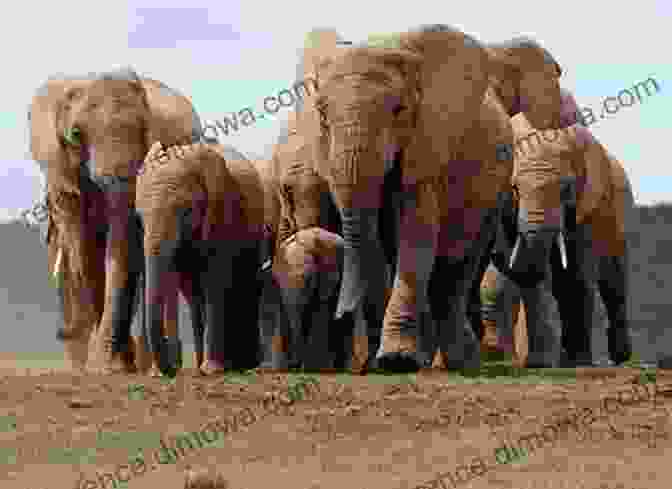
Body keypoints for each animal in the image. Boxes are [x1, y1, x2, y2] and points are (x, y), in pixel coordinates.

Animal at [28, 67, 202, 374]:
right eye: (76, 134)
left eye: (145, 128)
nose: (61, 331)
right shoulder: (60, 172)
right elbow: (85, 251)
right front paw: (110, 366)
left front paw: (111, 365)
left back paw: (150, 367)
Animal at [135, 141, 266, 374]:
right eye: (140, 216)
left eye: (185, 210)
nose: (172, 370)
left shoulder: (221, 212)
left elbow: (215, 281)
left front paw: (212, 370)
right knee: (194, 295)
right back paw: (202, 366)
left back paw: (240, 366)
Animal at [296, 25, 564, 370]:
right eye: (322, 115)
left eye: (399, 110)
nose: (340, 313)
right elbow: (375, 243)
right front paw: (380, 364)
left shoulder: (426, 147)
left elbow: (417, 238)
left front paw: (397, 360)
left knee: (460, 263)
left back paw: (459, 361)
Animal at [490, 87, 632, 366]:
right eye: (515, 188)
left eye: (566, 188)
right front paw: (538, 363)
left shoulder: (589, 201)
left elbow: (575, 276)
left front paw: (579, 363)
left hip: (619, 206)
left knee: (614, 282)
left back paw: (620, 357)